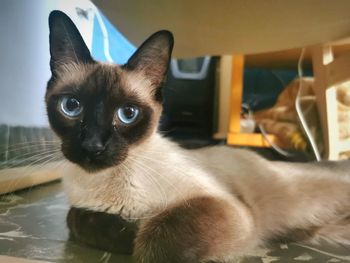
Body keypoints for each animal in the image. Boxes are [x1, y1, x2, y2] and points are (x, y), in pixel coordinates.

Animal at [47, 10, 350, 263]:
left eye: (128, 113)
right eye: (71, 107)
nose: (93, 146)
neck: (104, 184)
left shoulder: (222, 209)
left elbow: (154, 242)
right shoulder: (84, 211)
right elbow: (80, 220)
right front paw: (128, 233)